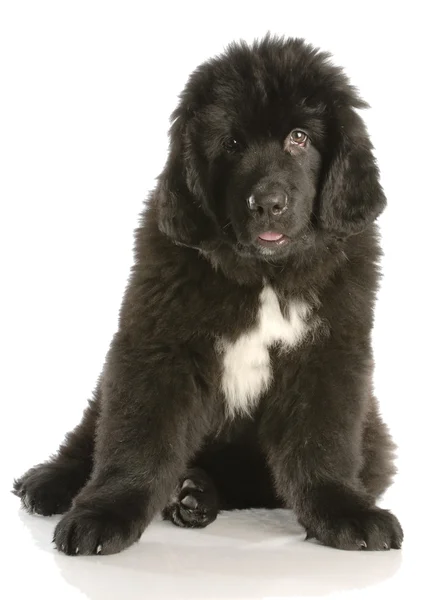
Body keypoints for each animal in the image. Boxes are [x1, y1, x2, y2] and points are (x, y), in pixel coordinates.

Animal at [13, 36, 402, 552]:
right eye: (232, 144)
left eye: (299, 138)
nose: (268, 204)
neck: (265, 275)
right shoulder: (157, 345)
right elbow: (136, 437)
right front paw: (104, 513)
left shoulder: (329, 354)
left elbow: (324, 442)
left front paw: (345, 511)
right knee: (88, 434)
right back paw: (51, 482)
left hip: (372, 437)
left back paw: (196, 493)